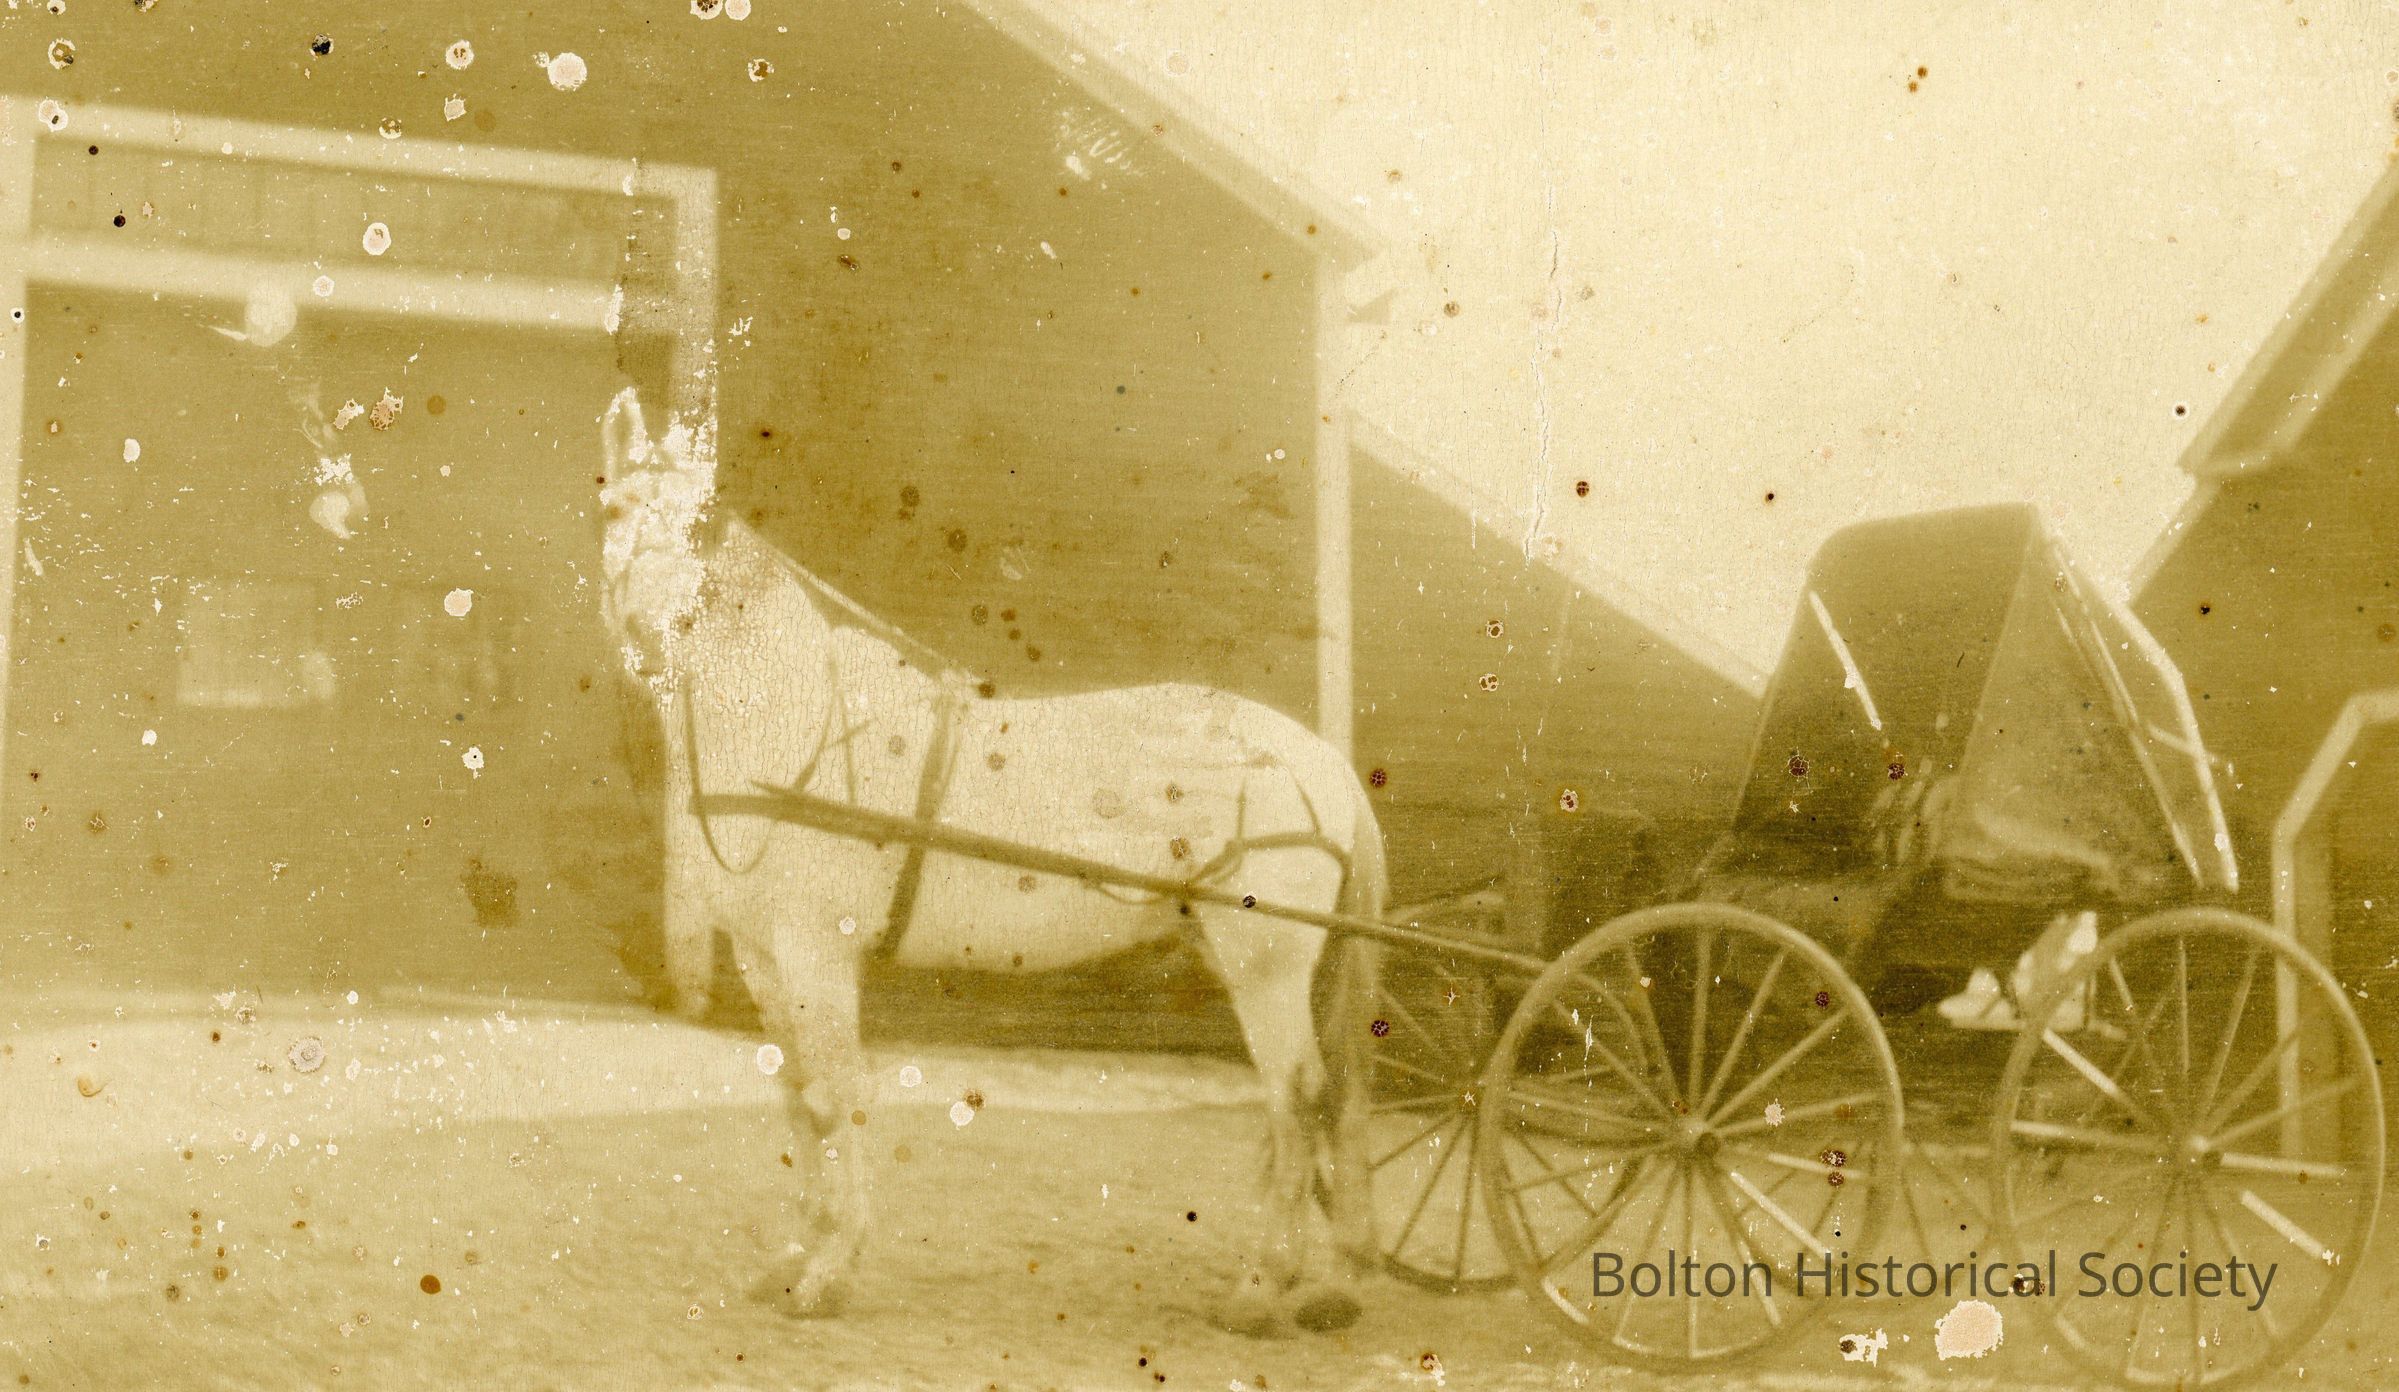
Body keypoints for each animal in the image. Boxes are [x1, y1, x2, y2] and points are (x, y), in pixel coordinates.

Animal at [594, 387, 1385, 1334]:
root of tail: (1318, 757)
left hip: (1264, 969)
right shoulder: (760, 955)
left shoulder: (818, 952)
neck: (796, 722)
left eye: (701, 528)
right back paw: (1326, 1282)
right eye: (613, 510)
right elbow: (797, 1098)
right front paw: (793, 1255)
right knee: (1309, 1107)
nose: (647, 637)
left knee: (1297, 1097)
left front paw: (829, 1271)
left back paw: (1264, 1288)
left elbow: (835, 1096)